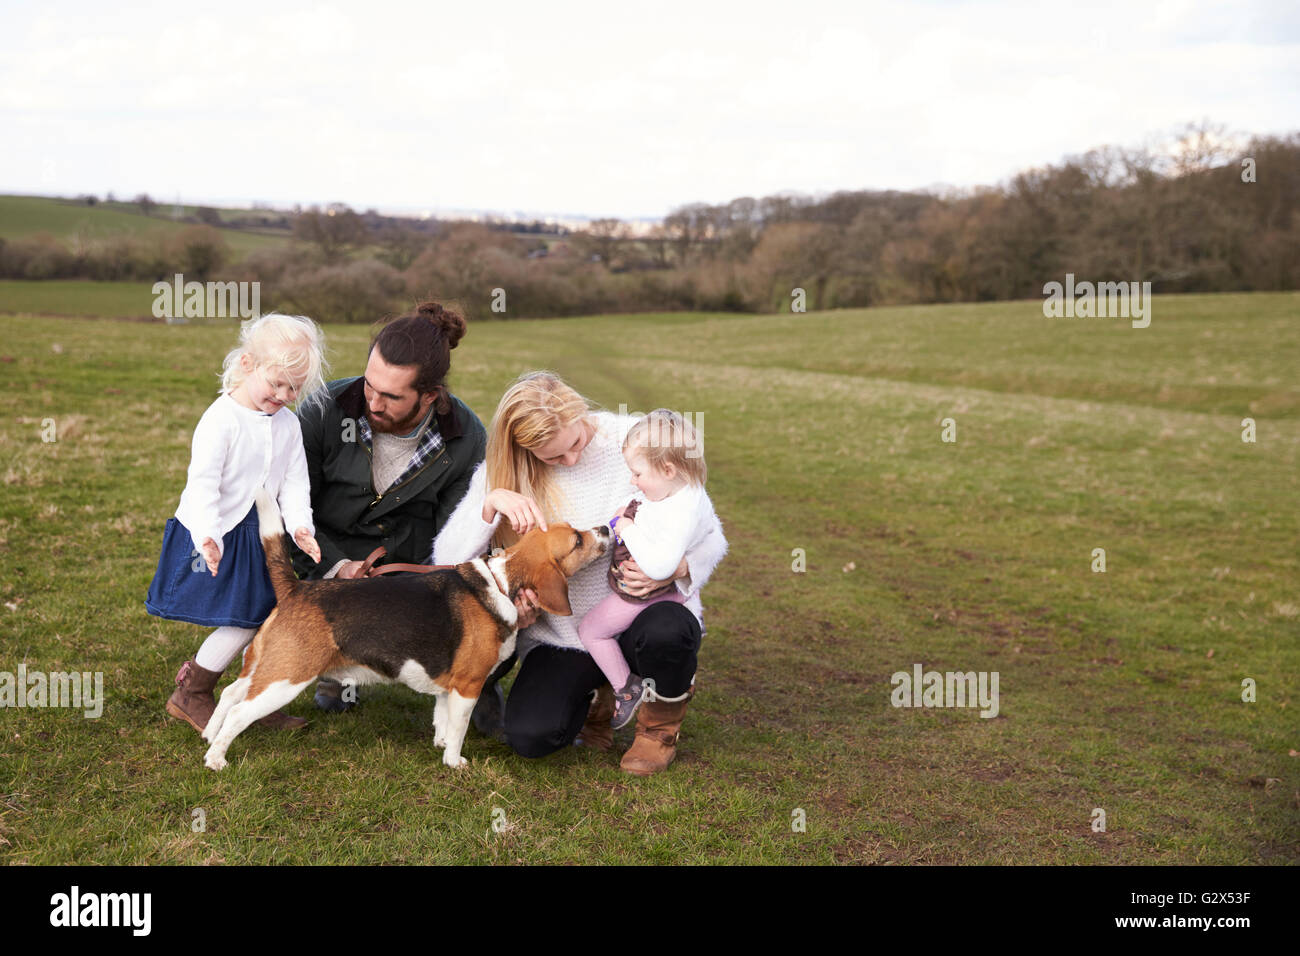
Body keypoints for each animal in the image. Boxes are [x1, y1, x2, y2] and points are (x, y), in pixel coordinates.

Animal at [202, 494, 608, 770]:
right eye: (576, 540)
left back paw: (208, 735)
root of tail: (298, 589)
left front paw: (440, 746)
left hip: (264, 667)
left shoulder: (448, 686)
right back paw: (216, 758)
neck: (501, 583)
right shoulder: (468, 685)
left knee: (230, 694)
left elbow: (443, 720)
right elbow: (459, 728)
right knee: (239, 712)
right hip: (287, 678)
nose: (605, 528)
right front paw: (454, 761)